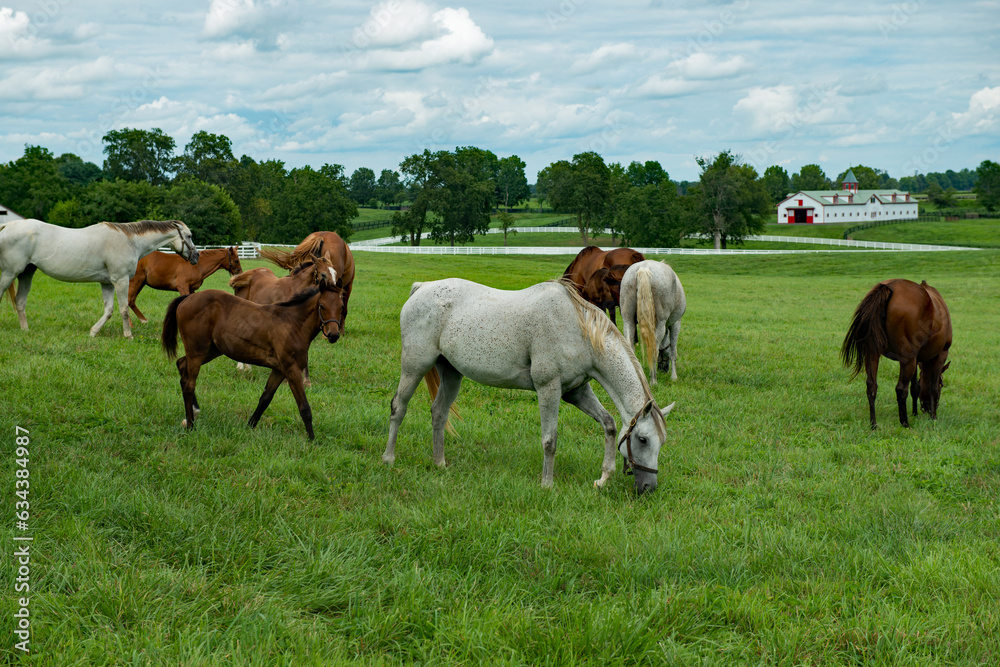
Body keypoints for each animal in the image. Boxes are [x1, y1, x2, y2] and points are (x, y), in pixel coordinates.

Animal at [0, 219, 199, 338]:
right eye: (189, 236)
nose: (196, 256)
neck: (129, 241)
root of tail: (7, 226)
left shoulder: (107, 283)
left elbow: (109, 310)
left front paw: (93, 332)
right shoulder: (121, 281)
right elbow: (124, 308)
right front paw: (128, 335)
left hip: (26, 273)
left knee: (20, 302)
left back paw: (25, 330)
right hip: (9, 273)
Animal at [161, 284, 345, 440]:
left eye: (341, 307)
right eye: (322, 306)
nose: (333, 335)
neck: (293, 324)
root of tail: (187, 298)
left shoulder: (279, 370)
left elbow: (265, 399)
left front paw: (249, 426)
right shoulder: (292, 370)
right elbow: (304, 407)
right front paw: (312, 440)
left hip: (211, 350)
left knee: (181, 364)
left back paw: (193, 413)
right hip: (197, 352)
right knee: (189, 383)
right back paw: (191, 425)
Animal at [382, 278, 676, 494]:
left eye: (660, 442)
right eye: (642, 439)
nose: (649, 487)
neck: (578, 330)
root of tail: (422, 287)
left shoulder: (576, 392)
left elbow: (609, 424)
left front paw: (603, 478)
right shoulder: (549, 389)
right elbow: (550, 440)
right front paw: (547, 485)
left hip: (452, 374)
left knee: (439, 413)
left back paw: (439, 463)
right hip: (414, 366)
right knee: (398, 407)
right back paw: (388, 458)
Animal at [841, 279, 952, 429]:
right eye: (942, 385)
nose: (927, 409)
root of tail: (888, 287)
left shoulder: (916, 359)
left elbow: (915, 387)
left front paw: (915, 412)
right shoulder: (940, 355)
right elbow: (932, 388)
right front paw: (933, 418)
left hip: (873, 353)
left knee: (871, 386)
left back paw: (873, 424)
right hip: (907, 359)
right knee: (900, 389)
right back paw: (904, 423)